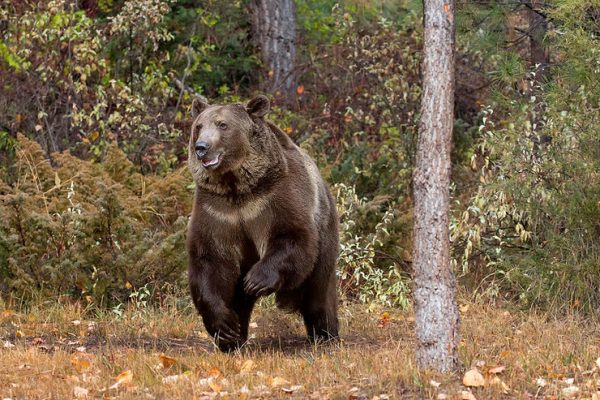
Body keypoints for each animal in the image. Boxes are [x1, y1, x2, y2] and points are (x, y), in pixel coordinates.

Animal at [185, 94, 340, 350]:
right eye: (198, 126)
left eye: (222, 124)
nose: (201, 148)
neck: (238, 188)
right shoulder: (217, 211)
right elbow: (210, 260)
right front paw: (224, 326)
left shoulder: (276, 198)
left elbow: (292, 236)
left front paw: (256, 280)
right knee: (239, 299)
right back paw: (233, 339)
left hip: (325, 231)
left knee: (319, 292)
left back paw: (325, 334)